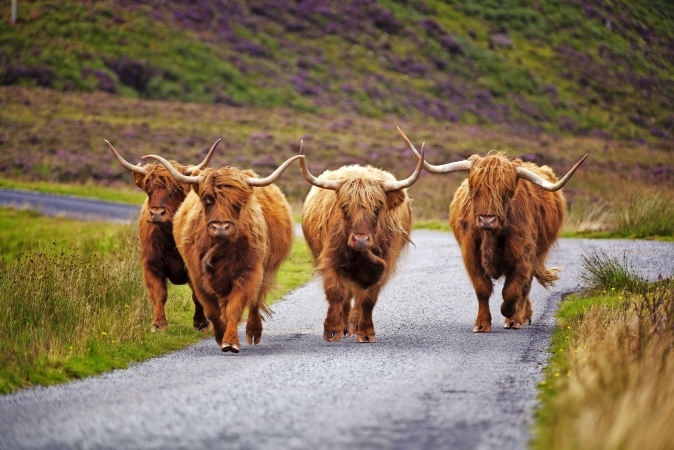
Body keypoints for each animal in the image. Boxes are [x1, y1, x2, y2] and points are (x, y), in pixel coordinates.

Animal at [106, 139, 220, 332]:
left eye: (174, 189)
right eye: (149, 189)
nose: (157, 213)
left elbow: (198, 295)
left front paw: (201, 323)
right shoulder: (151, 264)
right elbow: (158, 293)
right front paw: (158, 324)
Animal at [144, 152, 303, 353]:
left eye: (237, 203)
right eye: (207, 199)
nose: (220, 227)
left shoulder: (248, 273)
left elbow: (235, 307)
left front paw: (230, 341)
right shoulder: (197, 276)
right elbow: (211, 310)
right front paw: (219, 336)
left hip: (263, 271)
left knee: (254, 301)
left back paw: (253, 331)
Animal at [299, 135, 425, 343]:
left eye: (377, 208)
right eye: (344, 207)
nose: (361, 240)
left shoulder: (383, 265)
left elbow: (368, 299)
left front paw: (365, 331)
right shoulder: (330, 259)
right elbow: (336, 292)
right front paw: (332, 329)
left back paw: (353, 324)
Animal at [399, 127, 587, 332]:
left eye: (507, 191)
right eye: (475, 188)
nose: (487, 219)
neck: (491, 237)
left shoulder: (523, 254)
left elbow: (512, 291)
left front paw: (510, 315)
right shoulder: (471, 255)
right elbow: (483, 289)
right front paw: (482, 323)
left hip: (538, 252)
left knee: (525, 287)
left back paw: (520, 317)